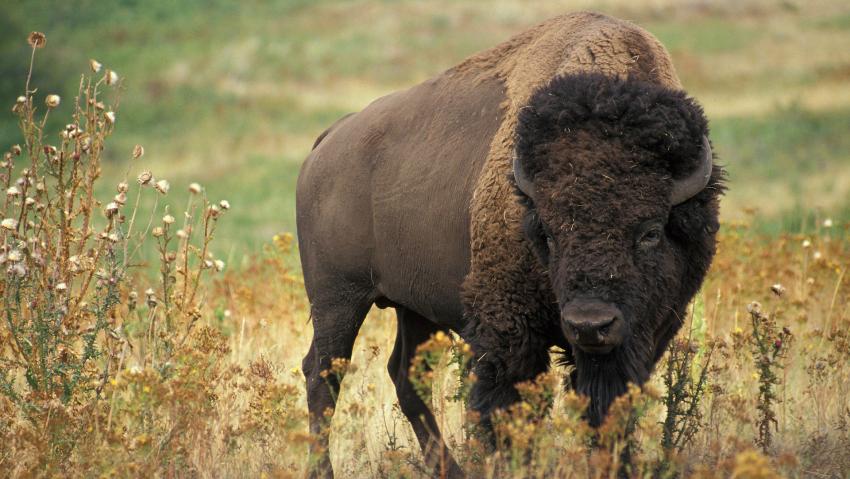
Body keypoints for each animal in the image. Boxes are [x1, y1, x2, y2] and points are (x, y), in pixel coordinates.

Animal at [296, 11, 723, 478]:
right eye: (548, 233)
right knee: (323, 375)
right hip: (338, 299)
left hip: (413, 307)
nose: (589, 324)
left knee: (404, 375)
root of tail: (329, 140)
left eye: (650, 232)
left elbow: (609, 408)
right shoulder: (509, 329)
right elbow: (508, 407)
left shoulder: (644, 335)